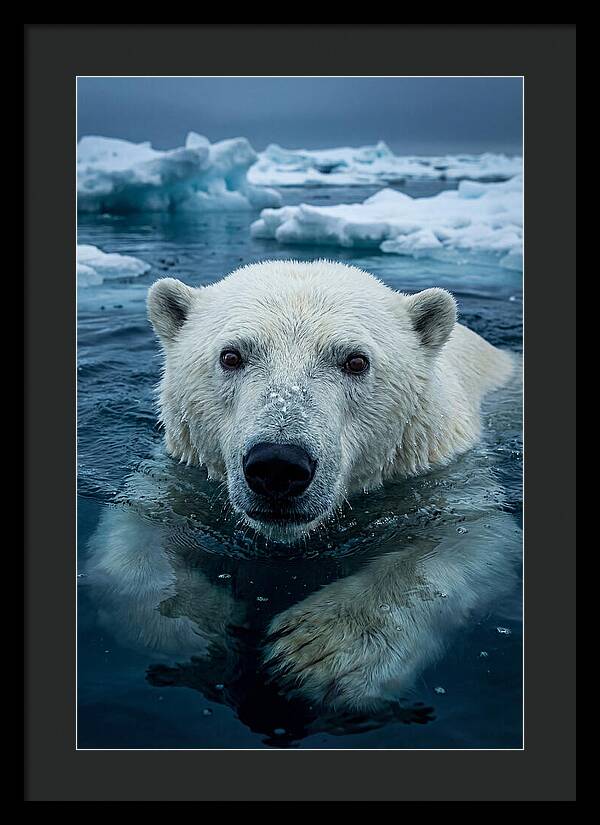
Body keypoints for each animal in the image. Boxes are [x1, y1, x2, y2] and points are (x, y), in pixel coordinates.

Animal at [83, 259, 520, 722]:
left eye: (356, 361)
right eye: (231, 355)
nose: (278, 465)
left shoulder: (442, 473)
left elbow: (472, 538)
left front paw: (317, 652)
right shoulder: (181, 474)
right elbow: (136, 533)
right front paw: (196, 627)